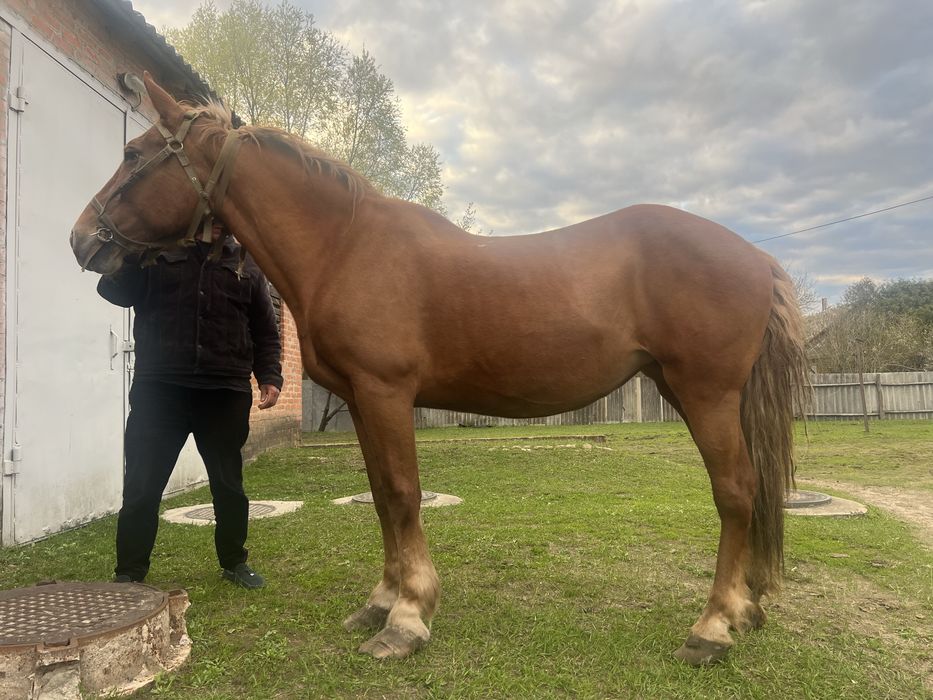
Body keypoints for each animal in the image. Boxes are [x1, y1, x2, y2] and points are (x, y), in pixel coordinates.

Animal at [70, 73, 808, 666]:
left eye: (134, 155)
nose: (81, 239)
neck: (346, 245)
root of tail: (754, 257)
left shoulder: (386, 393)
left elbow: (402, 495)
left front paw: (406, 619)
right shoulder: (363, 401)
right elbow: (379, 498)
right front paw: (381, 600)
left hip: (705, 393)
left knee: (735, 494)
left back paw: (711, 628)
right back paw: (745, 610)